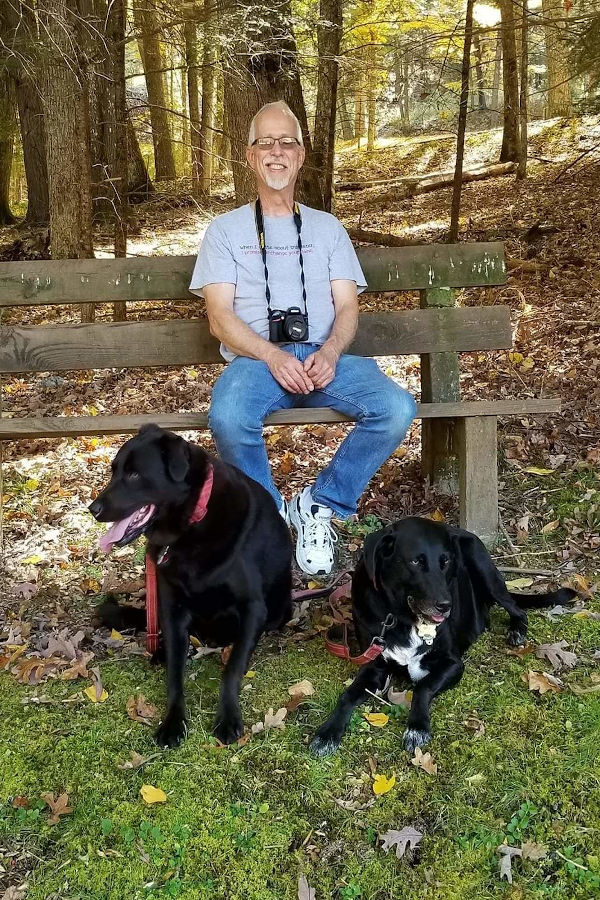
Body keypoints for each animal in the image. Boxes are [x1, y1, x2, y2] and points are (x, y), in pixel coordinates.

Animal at [89, 426, 292, 748]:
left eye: (134, 474)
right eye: (114, 471)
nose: (93, 509)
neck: (192, 522)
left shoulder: (253, 609)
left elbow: (232, 669)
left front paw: (228, 718)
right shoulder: (172, 607)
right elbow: (175, 675)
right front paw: (173, 721)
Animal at [312, 516, 576, 756]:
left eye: (446, 561)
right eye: (415, 561)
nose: (445, 606)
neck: (403, 617)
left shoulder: (453, 664)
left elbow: (423, 687)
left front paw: (417, 728)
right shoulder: (373, 665)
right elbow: (348, 695)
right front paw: (327, 733)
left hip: (483, 568)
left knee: (516, 607)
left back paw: (517, 629)